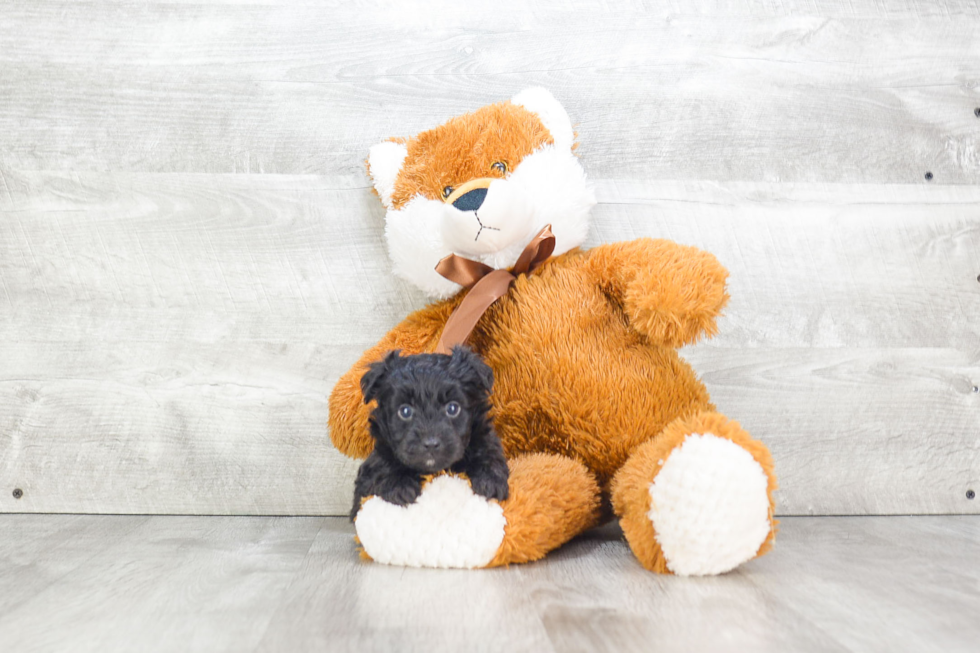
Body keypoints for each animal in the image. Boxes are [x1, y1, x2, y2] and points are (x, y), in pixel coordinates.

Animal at [350, 344, 506, 516]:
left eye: (452, 408)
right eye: (405, 411)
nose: (431, 444)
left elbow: (488, 450)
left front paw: (490, 481)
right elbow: (382, 463)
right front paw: (399, 485)